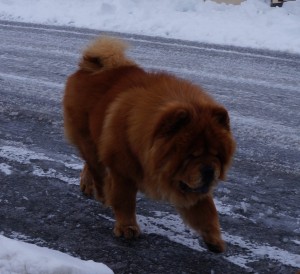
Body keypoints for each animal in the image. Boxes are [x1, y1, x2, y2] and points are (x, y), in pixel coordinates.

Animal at [63, 36, 236, 253]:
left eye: (216, 155)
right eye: (191, 155)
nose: (209, 171)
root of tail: (87, 67)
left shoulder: (194, 188)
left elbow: (207, 211)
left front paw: (214, 240)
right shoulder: (123, 171)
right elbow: (125, 201)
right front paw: (127, 228)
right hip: (87, 140)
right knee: (96, 169)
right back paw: (101, 194)